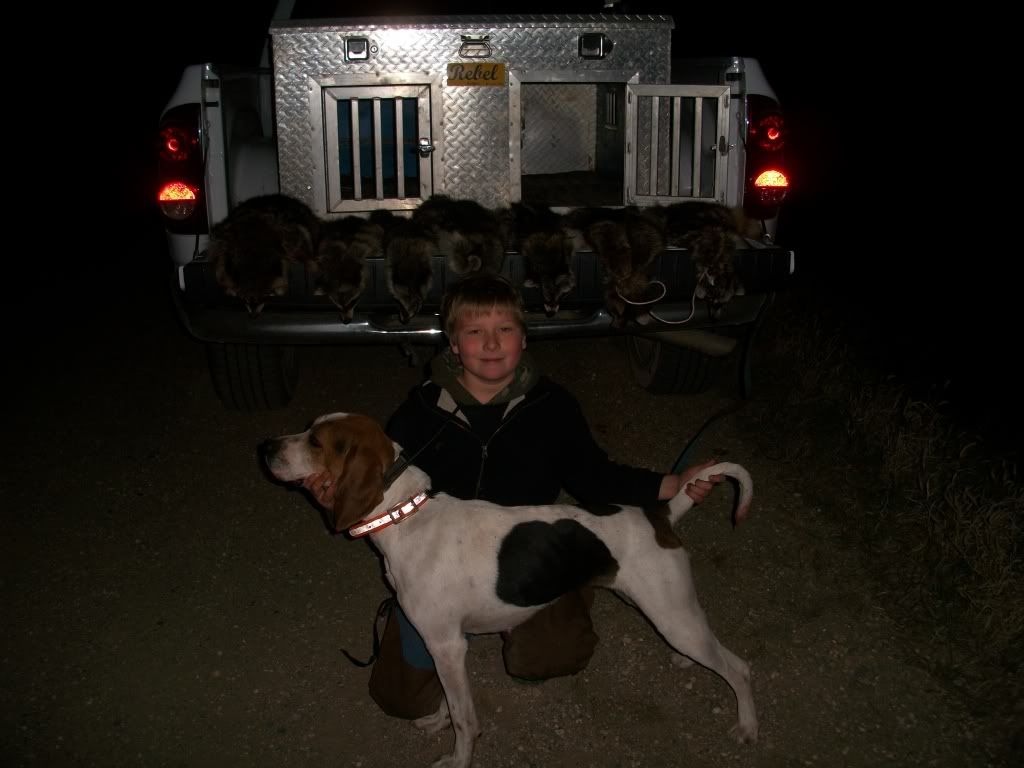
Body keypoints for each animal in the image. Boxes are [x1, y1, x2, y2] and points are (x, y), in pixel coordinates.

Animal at [261, 412, 758, 768]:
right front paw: (438, 721)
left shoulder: (446, 644)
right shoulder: (447, 646)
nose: (266, 446)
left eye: (316, 441)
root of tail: (660, 512)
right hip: (659, 608)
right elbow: (449, 701)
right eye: (308, 431)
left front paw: (458, 761)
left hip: (672, 616)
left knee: (739, 668)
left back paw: (748, 726)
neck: (407, 514)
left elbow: (465, 718)